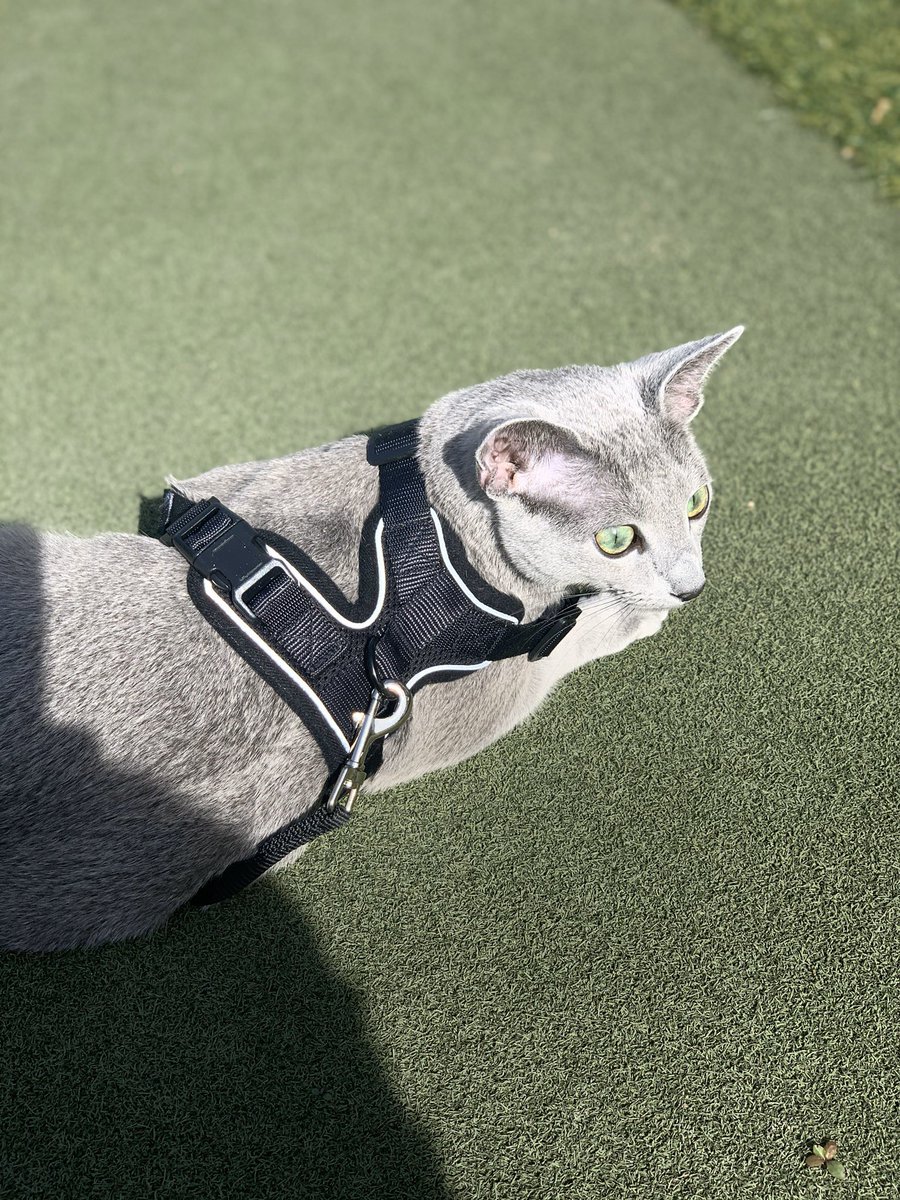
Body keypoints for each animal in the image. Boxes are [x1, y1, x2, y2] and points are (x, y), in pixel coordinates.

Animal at [0, 327, 742, 951]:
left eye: (697, 504)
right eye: (617, 539)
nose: (691, 586)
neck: (432, 510)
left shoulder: (215, 483)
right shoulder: (478, 695)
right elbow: (560, 643)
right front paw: (629, 612)